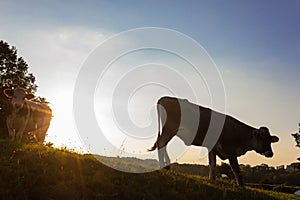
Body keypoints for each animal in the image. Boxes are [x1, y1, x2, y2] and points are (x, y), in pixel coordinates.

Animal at [148, 96, 278, 187]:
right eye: (261, 138)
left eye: (270, 140)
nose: (270, 153)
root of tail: (165, 98)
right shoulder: (230, 150)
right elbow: (236, 168)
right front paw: (241, 186)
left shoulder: (213, 148)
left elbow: (212, 164)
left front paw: (212, 180)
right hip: (169, 129)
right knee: (161, 143)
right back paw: (162, 166)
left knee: (163, 144)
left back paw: (167, 167)